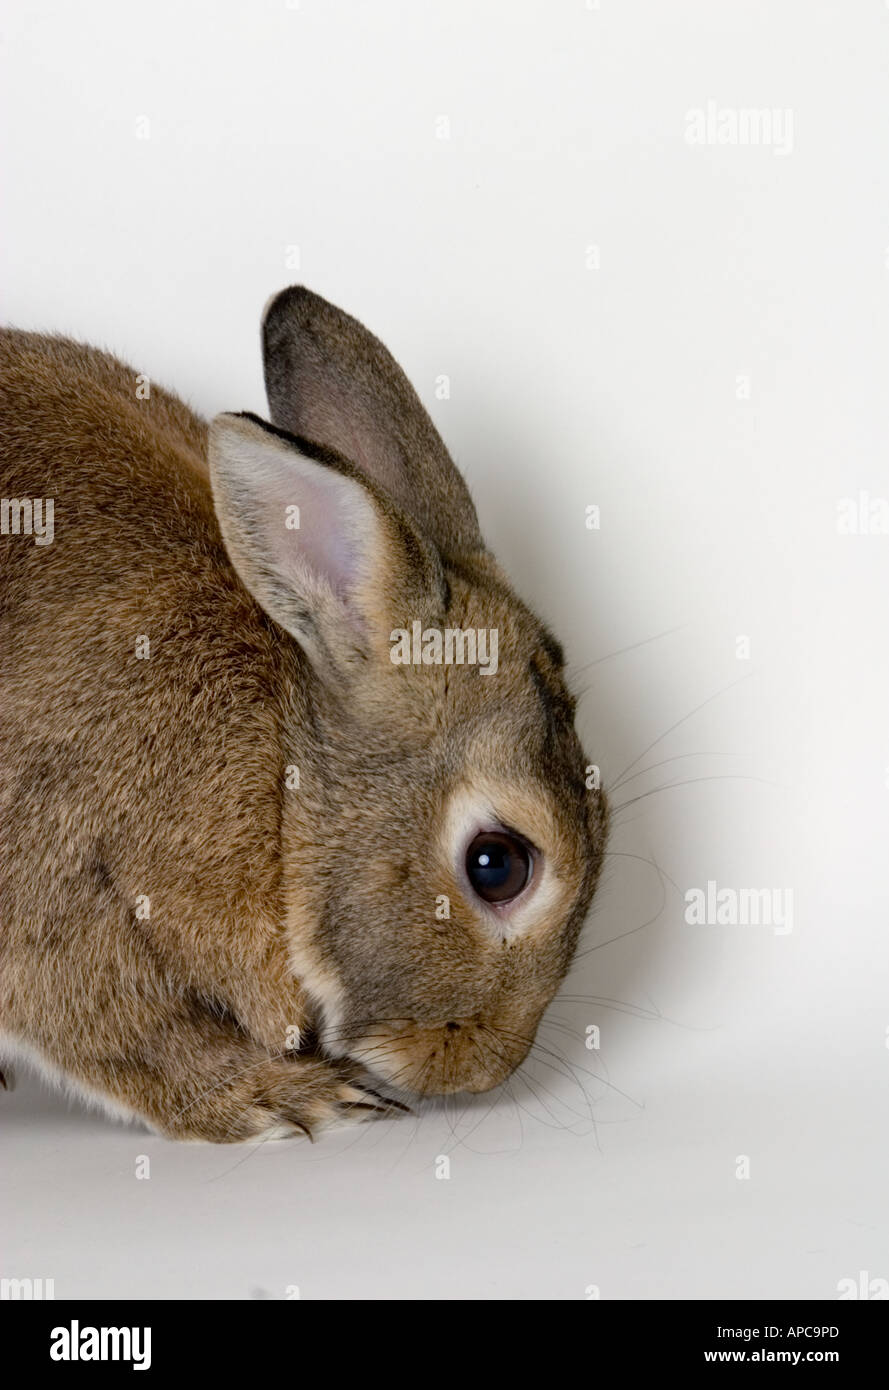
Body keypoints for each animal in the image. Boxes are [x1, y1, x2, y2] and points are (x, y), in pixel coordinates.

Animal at [0, 287, 609, 1141]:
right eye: (498, 865)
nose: (480, 1071)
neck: (286, 790)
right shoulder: (56, 877)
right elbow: (128, 1037)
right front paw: (286, 1097)